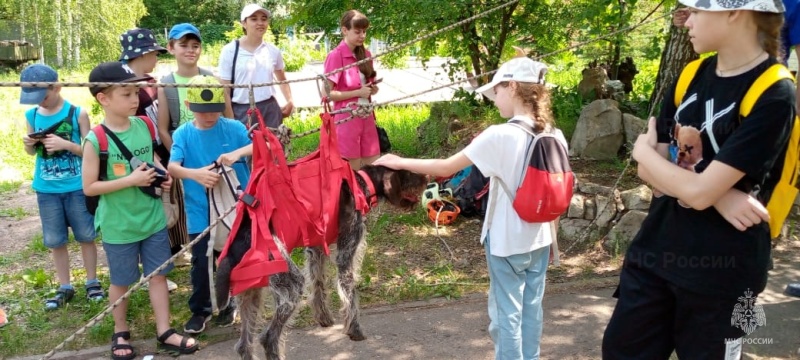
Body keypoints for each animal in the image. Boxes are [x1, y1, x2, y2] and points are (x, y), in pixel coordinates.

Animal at [212, 165, 424, 358]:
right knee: (268, 338)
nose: (426, 177)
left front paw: (324, 317)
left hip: (251, 294)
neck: (360, 182)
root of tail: (233, 250)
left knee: (244, 345)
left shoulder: (316, 248)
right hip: (291, 285)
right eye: (408, 173)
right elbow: (350, 293)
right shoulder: (345, 252)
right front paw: (354, 329)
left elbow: (318, 283)